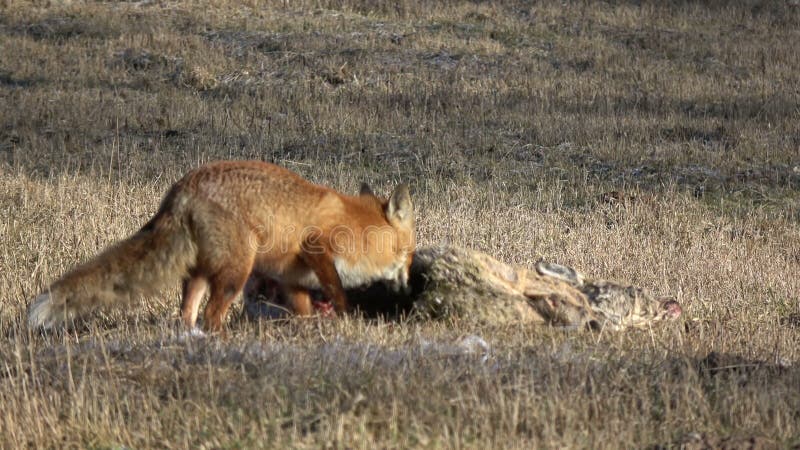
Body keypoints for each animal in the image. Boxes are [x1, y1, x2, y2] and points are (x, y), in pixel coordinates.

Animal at [28, 160, 416, 332]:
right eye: (410, 255)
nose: (410, 283)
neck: (358, 226)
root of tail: (181, 190)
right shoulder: (316, 245)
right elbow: (337, 290)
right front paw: (347, 316)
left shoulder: (292, 279)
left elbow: (304, 308)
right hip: (236, 272)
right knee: (213, 314)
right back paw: (221, 338)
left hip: (201, 273)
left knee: (187, 313)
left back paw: (191, 337)